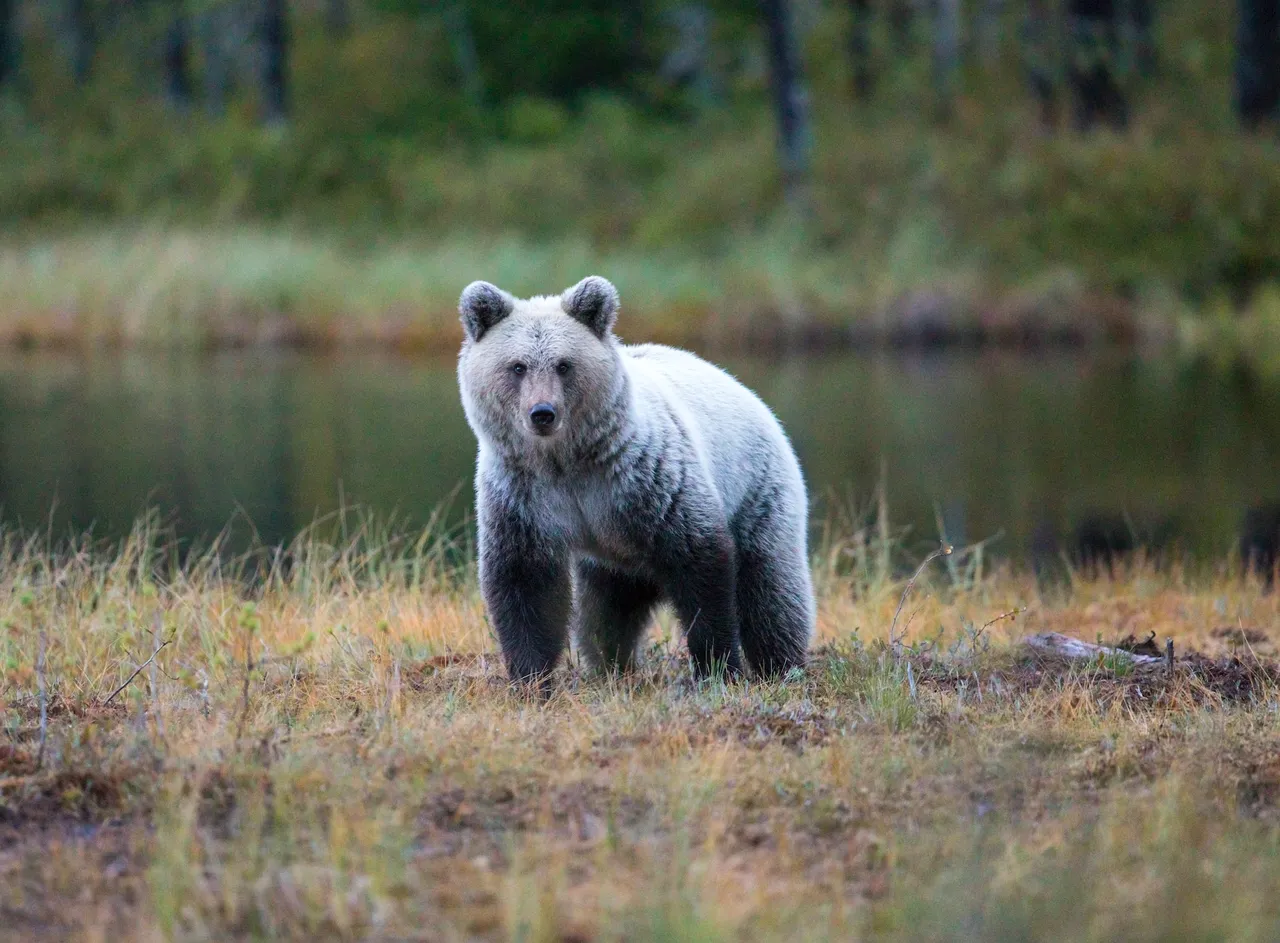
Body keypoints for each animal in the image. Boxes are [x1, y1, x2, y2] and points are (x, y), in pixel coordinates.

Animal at [456, 275, 815, 687]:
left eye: (564, 365)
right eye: (517, 366)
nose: (542, 413)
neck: (566, 462)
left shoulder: (646, 480)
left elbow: (701, 565)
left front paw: (717, 666)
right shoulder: (524, 497)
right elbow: (524, 582)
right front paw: (531, 678)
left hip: (757, 489)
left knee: (771, 589)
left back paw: (781, 666)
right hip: (613, 558)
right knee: (605, 614)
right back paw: (612, 664)